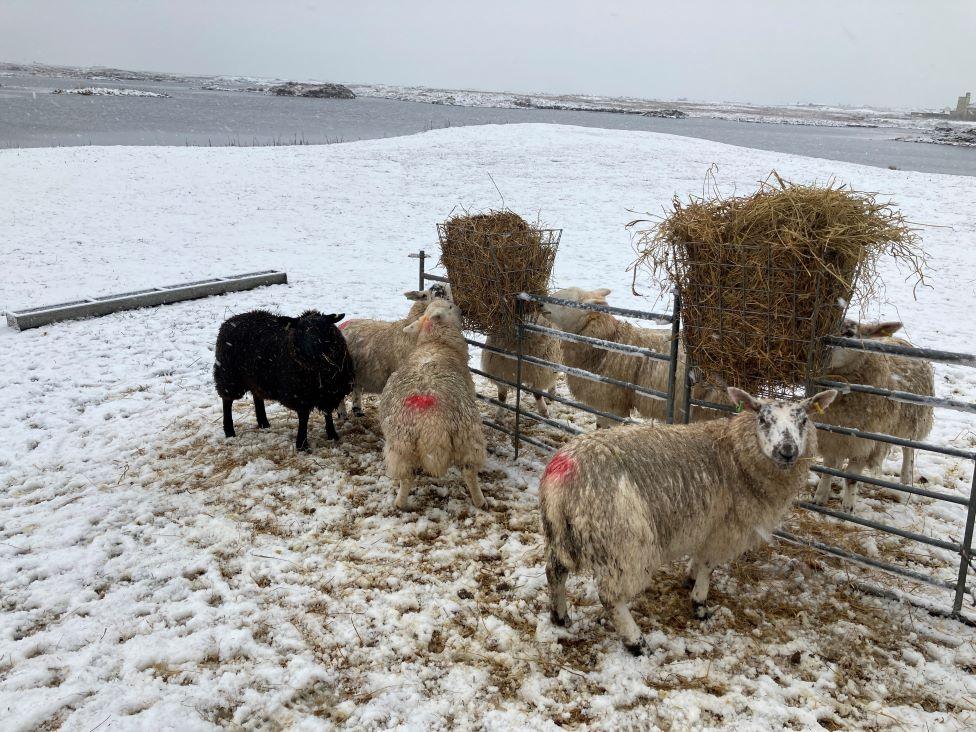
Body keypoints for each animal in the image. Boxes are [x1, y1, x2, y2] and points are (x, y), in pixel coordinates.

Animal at [214, 310, 354, 452]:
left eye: (324, 327)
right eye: (300, 330)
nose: (314, 350)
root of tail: (232, 319)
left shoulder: (330, 392)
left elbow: (328, 413)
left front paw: (332, 435)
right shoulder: (300, 395)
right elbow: (304, 418)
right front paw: (302, 444)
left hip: (256, 377)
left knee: (257, 396)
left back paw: (264, 423)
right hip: (229, 375)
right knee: (227, 401)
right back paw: (229, 431)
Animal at [380, 298, 488, 508]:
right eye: (449, 306)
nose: (462, 310)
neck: (436, 342)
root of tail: (431, 422)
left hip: (401, 446)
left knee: (407, 476)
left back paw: (400, 503)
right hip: (469, 436)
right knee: (469, 472)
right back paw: (480, 501)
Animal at [540, 386, 840, 656]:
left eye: (804, 420)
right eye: (763, 420)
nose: (787, 451)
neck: (737, 453)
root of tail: (563, 470)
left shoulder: (708, 523)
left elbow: (699, 559)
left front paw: (690, 577)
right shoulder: (723, 528)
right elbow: (708, 565)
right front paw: (699, 603)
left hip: (562, 534)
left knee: (554, 571)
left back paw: (560, 616)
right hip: (623, 541)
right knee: (610, 596)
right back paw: (636, 642)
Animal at [812, 320, 936, 516]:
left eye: (849, 333)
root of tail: (902, 340)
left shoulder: (864, 442)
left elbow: (851, 478)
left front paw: (847, 508)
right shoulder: (832, 436)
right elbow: (828, 470)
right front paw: (820, 497)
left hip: (912, 422)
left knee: (908, 449)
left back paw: (905, 479)